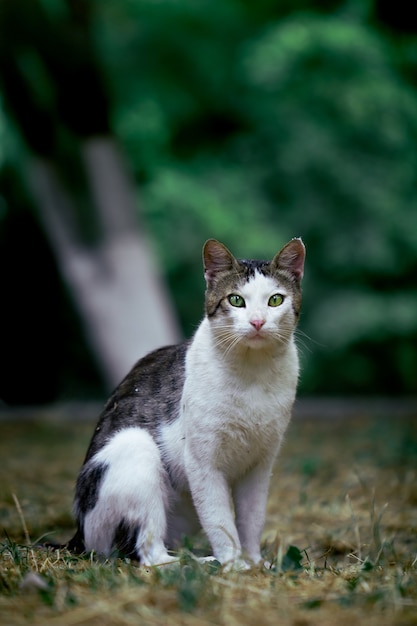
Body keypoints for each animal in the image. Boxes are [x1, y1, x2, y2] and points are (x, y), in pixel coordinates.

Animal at [68, 236, 304, 568]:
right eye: (236, 300)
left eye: (274, 300)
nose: (257, 322)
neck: (253, 375)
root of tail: (78, 536)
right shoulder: (202, 462)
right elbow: (219, 519)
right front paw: (234, 565)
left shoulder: (261, 463)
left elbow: (252, 518)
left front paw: (254, 562)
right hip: (135, 445)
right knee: (148, 553)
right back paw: (199, 562)